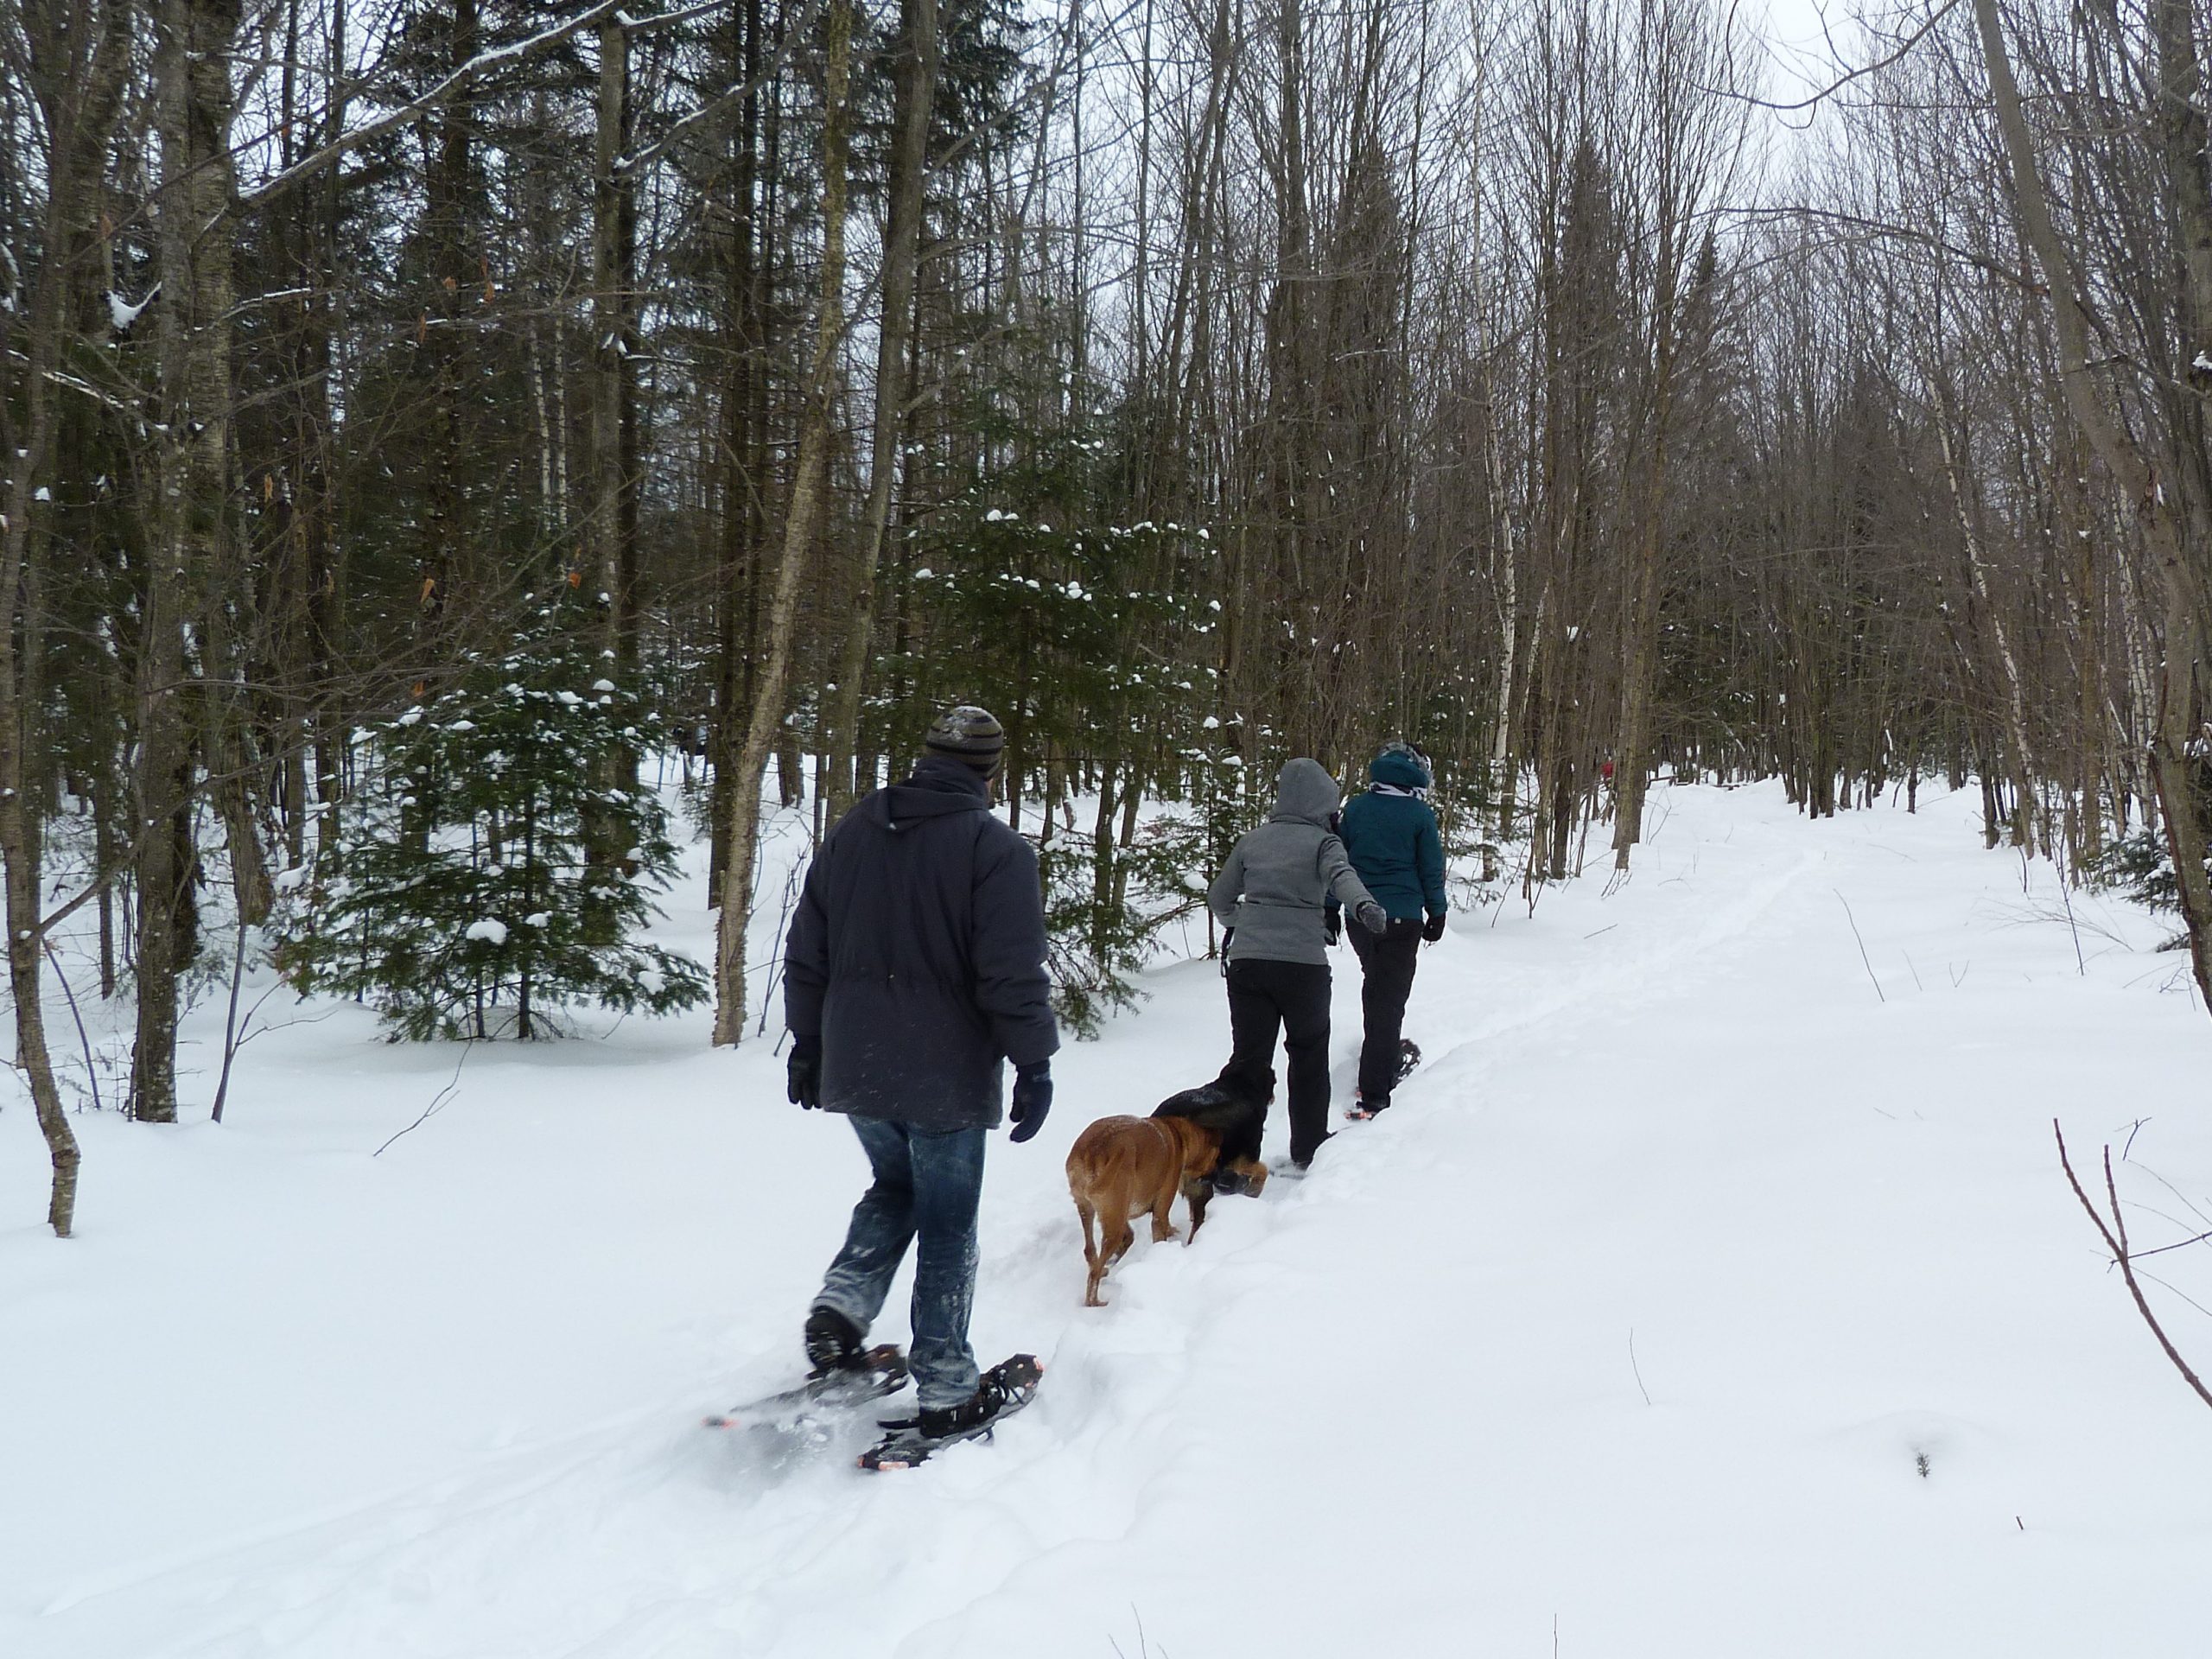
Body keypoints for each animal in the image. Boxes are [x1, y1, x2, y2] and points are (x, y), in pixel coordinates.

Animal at [1061, 1065, 1274, 1309]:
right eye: (1216, 1158)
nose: (1217, 1178)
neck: (1179, 1134)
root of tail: (1095, 1149)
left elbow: (1134, 1234)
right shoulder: (1160, 1209)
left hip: (1088, 1210)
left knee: (1091, 1250)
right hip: (1113, 1219)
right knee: (1095, 1270)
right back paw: (1094, 1300)